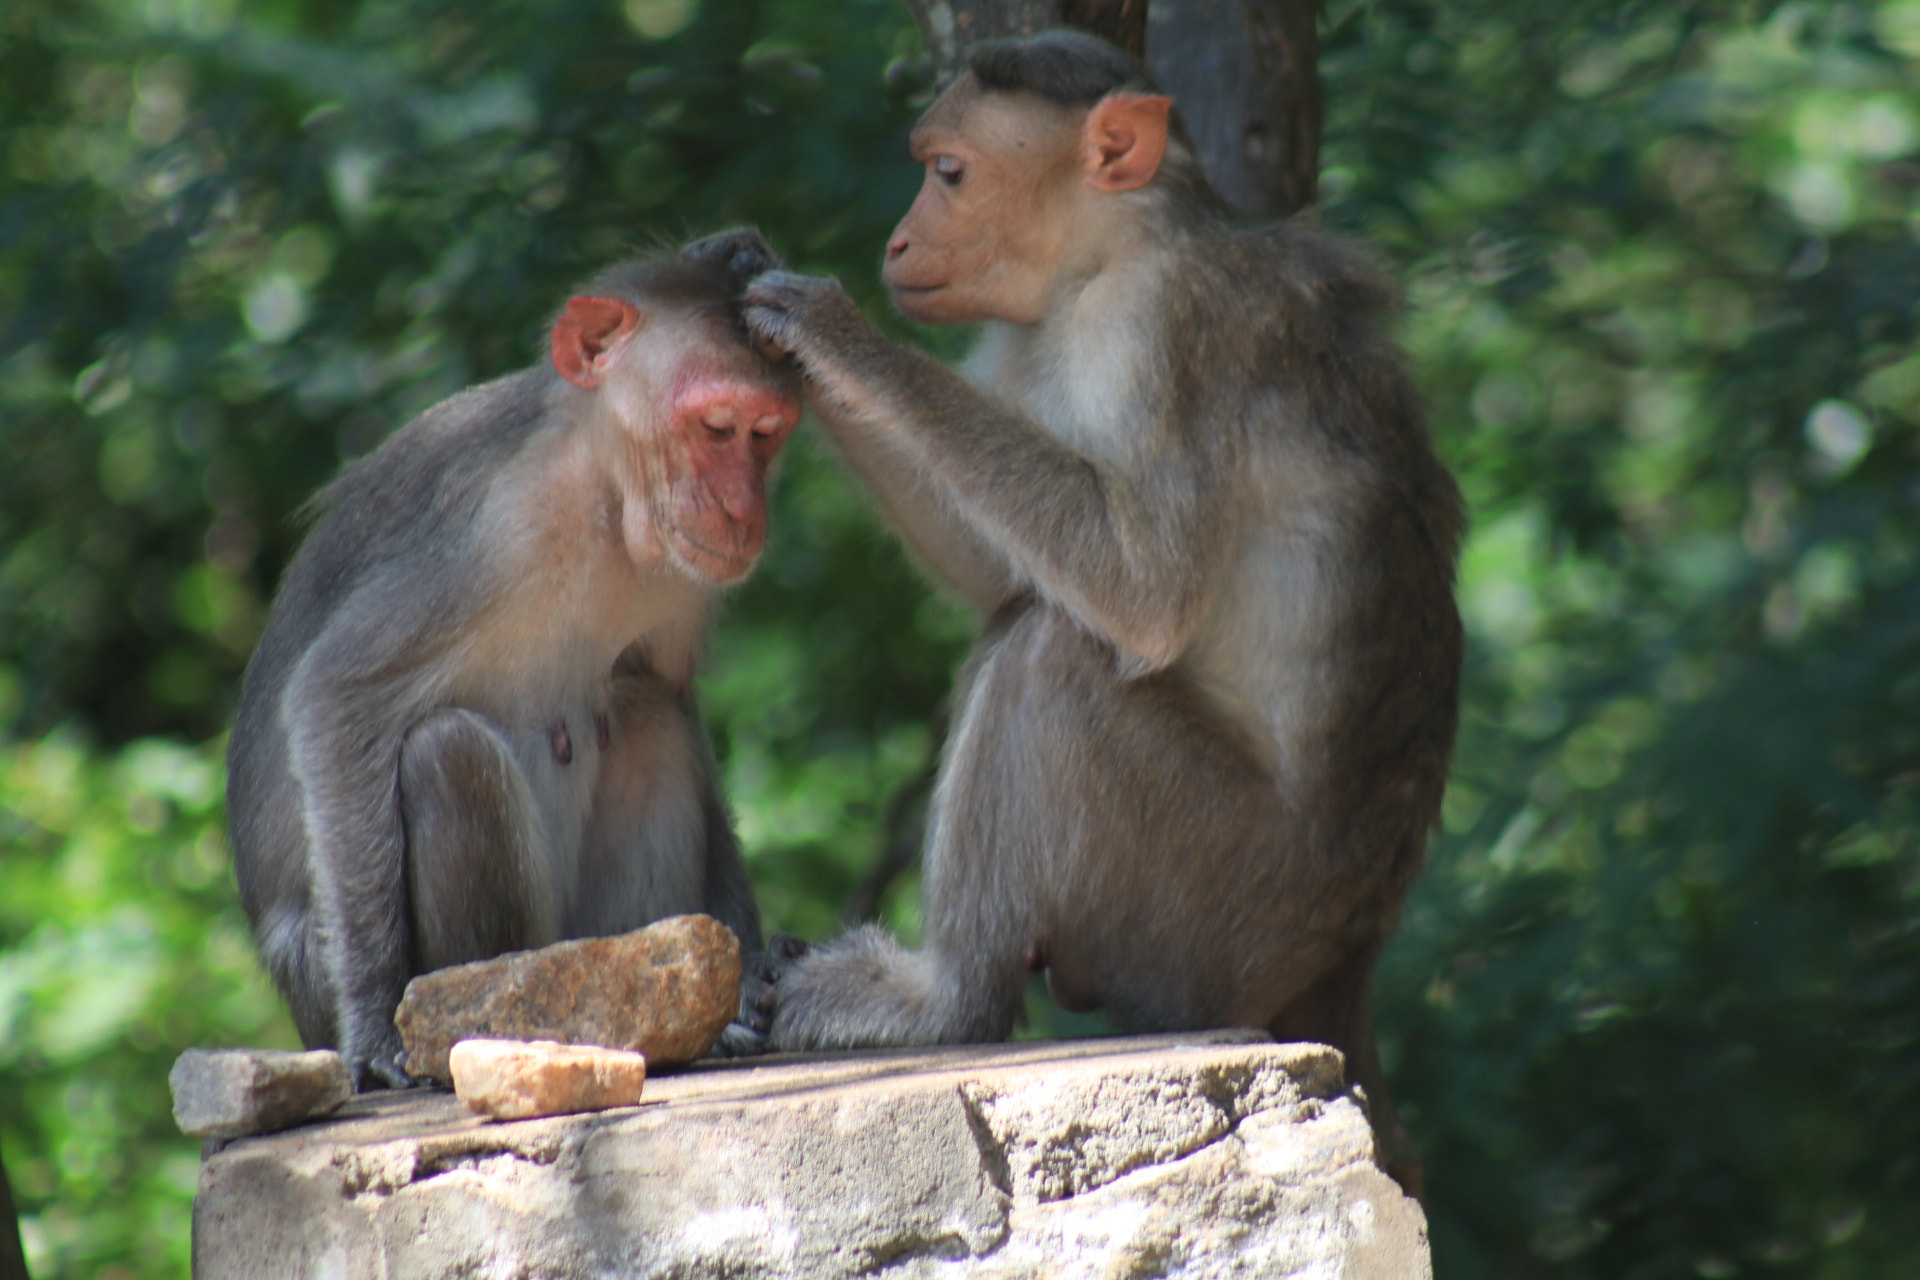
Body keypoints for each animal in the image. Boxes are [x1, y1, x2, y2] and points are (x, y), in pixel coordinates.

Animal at [226, 230, 800, 1090]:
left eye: (766, 434)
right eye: (716, 426)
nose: (743, 510)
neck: (607, 499)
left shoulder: (681, 574)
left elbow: (670, 693)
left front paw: (752, 962)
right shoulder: (500, 533)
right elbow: (336, 695)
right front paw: (372, 1024)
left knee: (645, 717)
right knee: (448, 754)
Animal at [742, 33, 1462, 1194]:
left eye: (950, 173)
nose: (900, 240)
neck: (1114, 253)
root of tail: (1344, 960)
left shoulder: (1163, 326)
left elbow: (1139, 591)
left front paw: (831, 331)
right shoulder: (1032, 331)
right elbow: (998, 568)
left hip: (1215, 906)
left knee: (1050, 653)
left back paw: (945, 1002)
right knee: (1027, 613)